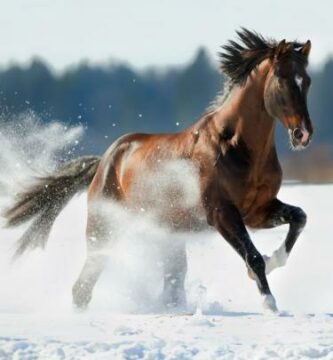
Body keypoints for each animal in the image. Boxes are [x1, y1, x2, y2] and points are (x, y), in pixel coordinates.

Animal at [4, 29, 312, 312]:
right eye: (282, 79)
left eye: (306, 81)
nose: (303, 134)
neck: (235, 146)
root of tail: (104, 162)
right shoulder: (221, 214)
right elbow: (253, 256)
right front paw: (269, 303)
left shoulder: (257, 211)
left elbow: (299, 218)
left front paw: (273, 263)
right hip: (104, 230)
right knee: (83, 286)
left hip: (168, 235)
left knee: (170, 283)